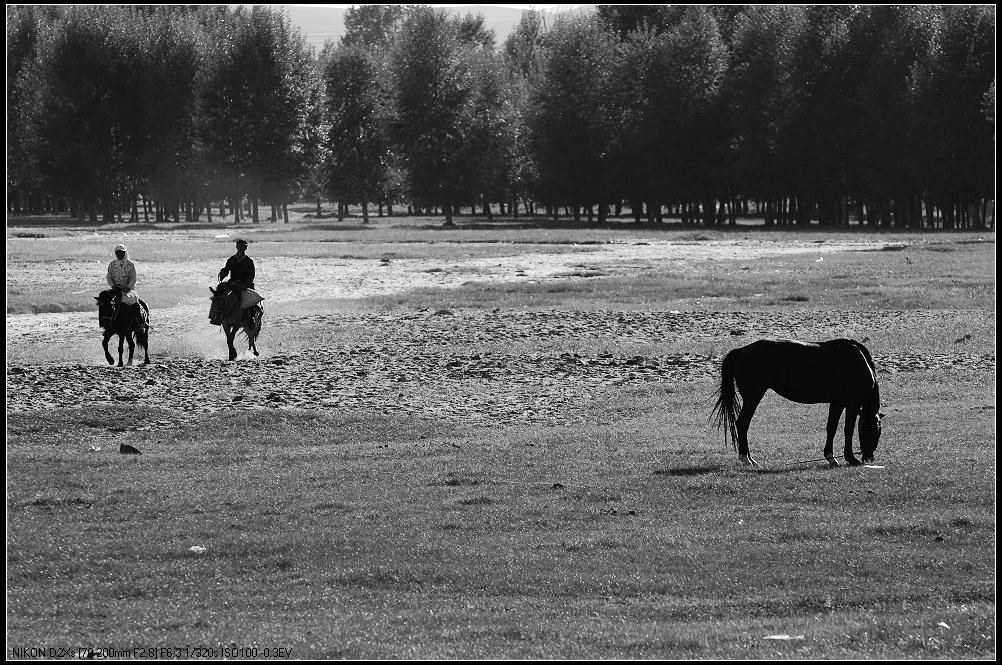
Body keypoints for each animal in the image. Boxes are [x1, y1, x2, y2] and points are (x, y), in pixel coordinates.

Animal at [713, 338, 885, 466]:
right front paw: (850, 458)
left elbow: (832, 428)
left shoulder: (837, 402)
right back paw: (746, 458)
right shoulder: (850, 403)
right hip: (753, 397)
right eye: (876, 431)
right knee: (742, 423)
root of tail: (741, 350)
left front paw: (831, 457)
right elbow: (847, 429)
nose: (869, 457)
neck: (857, 362)